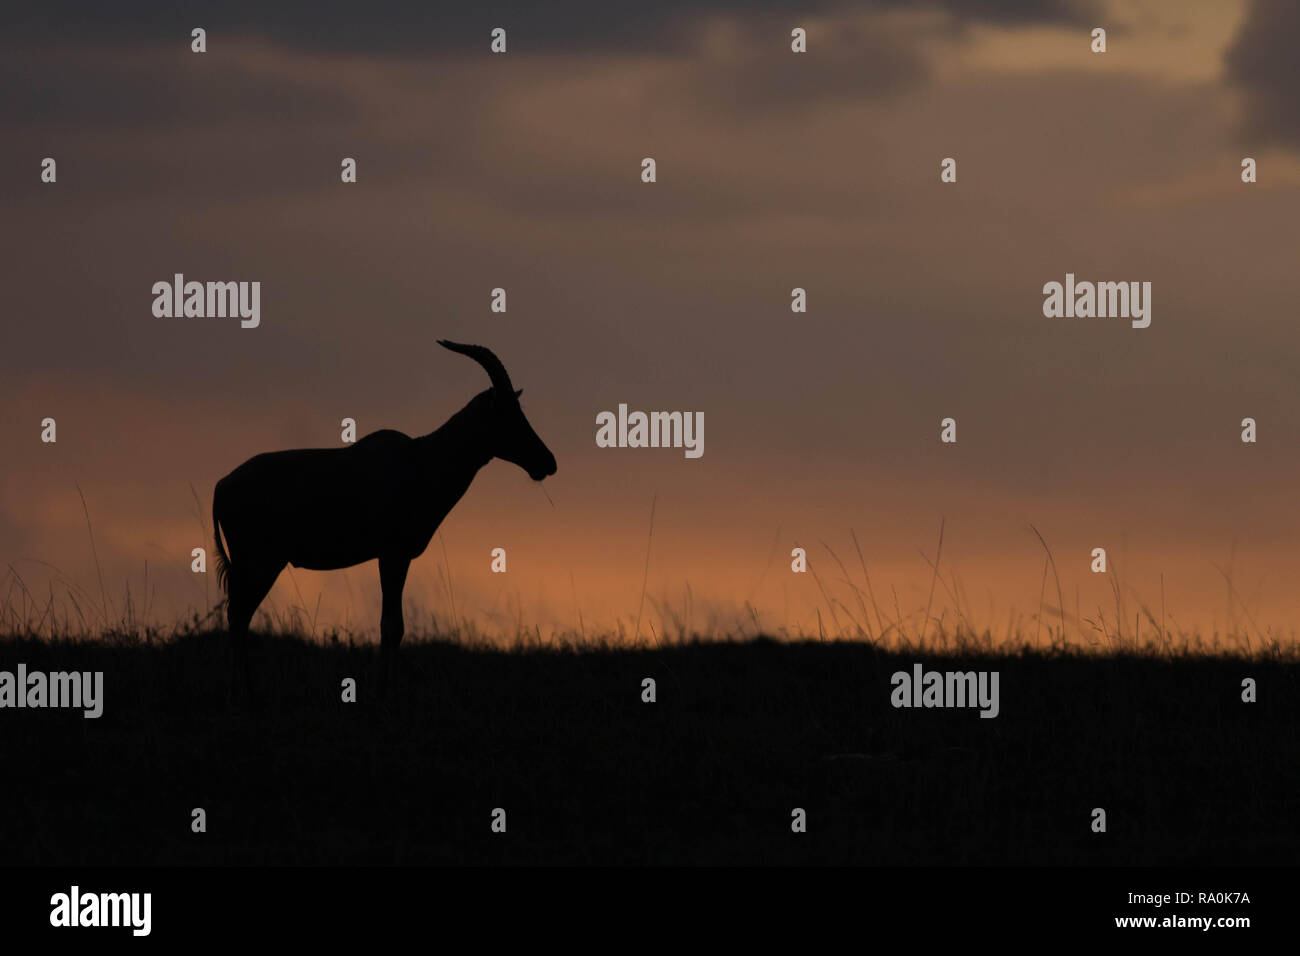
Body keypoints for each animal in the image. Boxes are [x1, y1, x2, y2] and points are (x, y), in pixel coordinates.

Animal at [212, 341, 557, 695]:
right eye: (507, 413)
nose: (547, 461)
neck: (422, 460)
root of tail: (222, 485)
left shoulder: (394, 557)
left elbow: (394, 625)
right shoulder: (393, 555)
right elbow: (391, 625)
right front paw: (385, 689)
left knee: (239, 616)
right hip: (260, 565)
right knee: (238, 616)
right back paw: (242, 687)